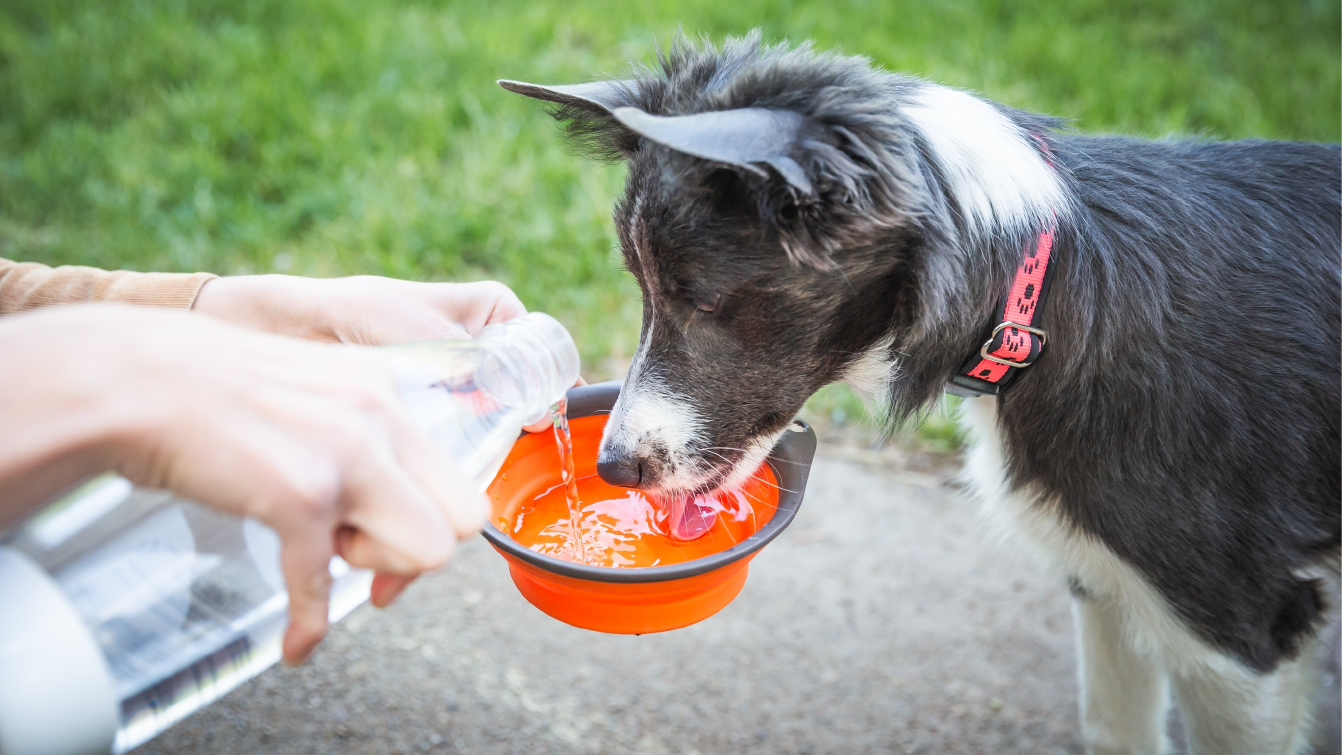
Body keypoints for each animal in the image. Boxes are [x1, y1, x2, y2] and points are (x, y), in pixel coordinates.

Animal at [501, 31, 1342, 755]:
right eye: (642, 287)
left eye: (702, 298)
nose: (613, 468)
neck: (1042, 297)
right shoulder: (1108, 580)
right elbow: (1114, 727)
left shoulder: (1237, 634)